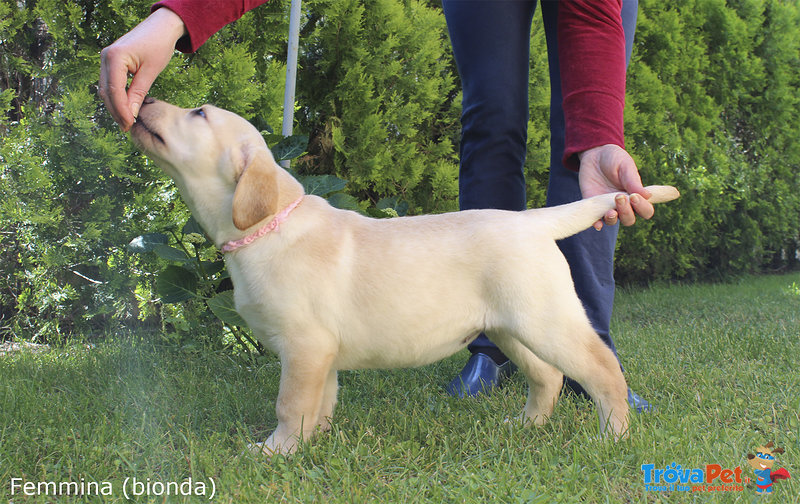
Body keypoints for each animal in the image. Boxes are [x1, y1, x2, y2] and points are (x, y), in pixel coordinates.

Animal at [131, 96, 680, 454]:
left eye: (199, 114)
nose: (146, 96)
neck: (268, 228)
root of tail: (531, 220)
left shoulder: (304, 345)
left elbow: (289, 405)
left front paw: (274, 451)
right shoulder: (321, 355)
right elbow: (319, 402)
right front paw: (313, 445)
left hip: (546, 319)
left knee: (602, 370)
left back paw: (613, 436)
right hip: (507, 326)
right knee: (547, 376)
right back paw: (525, 428)